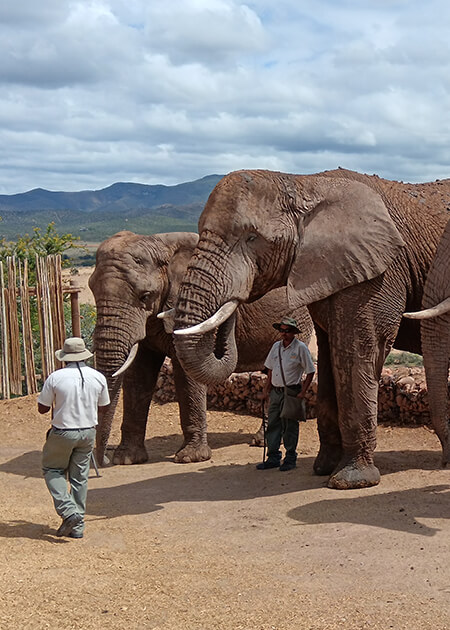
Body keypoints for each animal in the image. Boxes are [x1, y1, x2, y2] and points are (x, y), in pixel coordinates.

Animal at [88, 230, 312, 466]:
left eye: (145, 296)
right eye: (91, 290)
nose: (103, 460)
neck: (161, 243)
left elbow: (186, 373)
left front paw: (190, 458)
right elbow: (139, 375)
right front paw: (127, 459)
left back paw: (262, 441)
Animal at [172, 169, 450, 494]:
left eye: (252, 238)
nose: (236, 295)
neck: (304, 182)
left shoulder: (379, 272)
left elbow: (359, 351)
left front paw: (351, 481)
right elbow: (329, 359)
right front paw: (323, 469)